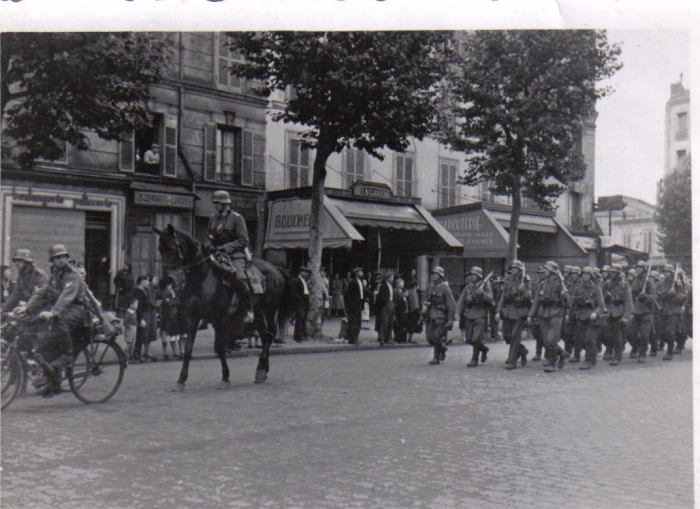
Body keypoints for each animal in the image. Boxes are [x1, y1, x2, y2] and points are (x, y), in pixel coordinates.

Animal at [157, 223, 288, 388]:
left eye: (173, 247)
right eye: (160, 249)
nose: (167, 279)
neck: (202, 277)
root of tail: (276, 269)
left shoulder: (218, 318)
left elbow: (220, 347)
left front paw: (225, 377)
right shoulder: (193, 318)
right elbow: (188, 348)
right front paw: (181, 379)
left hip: (270, 310)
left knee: (269, 335)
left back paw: (260, 369)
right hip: (258, 313)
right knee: (264, 337)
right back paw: (263, 370)